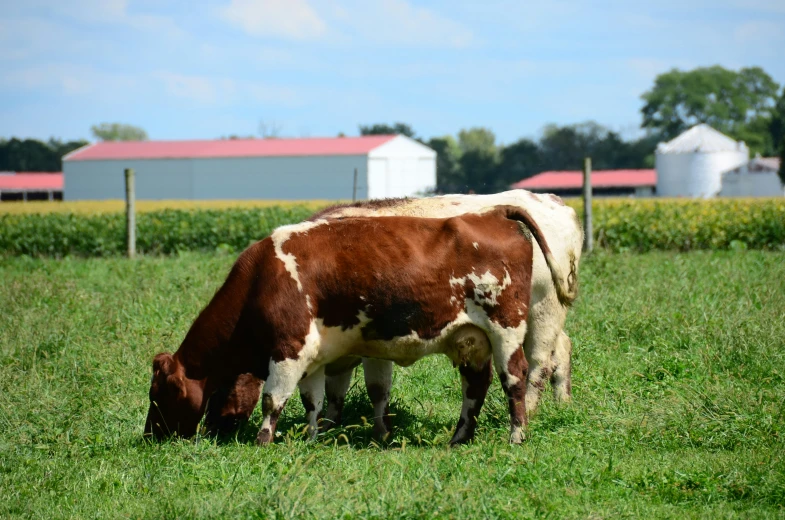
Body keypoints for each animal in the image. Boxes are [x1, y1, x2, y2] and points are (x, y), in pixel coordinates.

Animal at [144, 205, 568, 444]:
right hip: (472, 339)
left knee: (515, 379)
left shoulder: (288, 349)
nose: (149, 436)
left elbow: (273, 399)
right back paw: (459, 438)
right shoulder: (313, 357)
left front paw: (264, 442)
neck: (262, 278)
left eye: (157, 395)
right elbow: (313, 401)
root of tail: (493, 214)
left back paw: (516, 436)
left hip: (505, 328)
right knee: (475, 387)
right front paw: (310, 438)